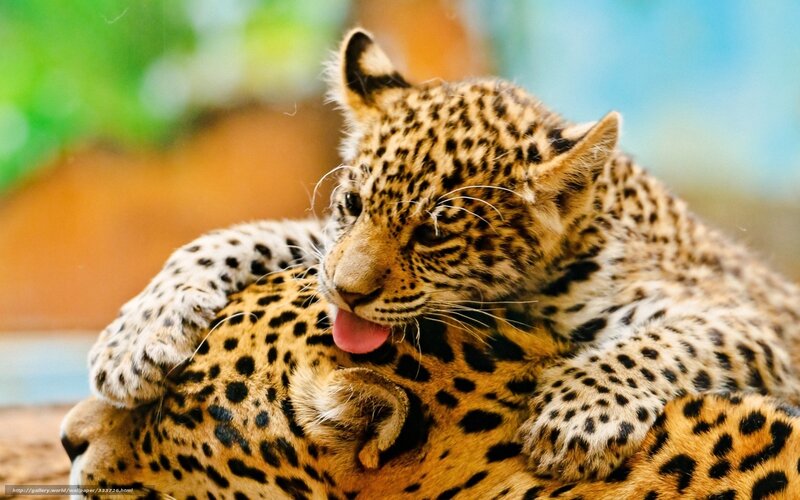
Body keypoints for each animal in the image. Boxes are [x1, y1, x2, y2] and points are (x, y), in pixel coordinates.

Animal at [87, 28, 800, 480]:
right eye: (353, 204)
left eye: (433, 235)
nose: (346, 295)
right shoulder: (324, 245)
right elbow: (243, 236)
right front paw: (136, 339)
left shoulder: (757, 322)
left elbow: (668, 340)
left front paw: (575, 416)